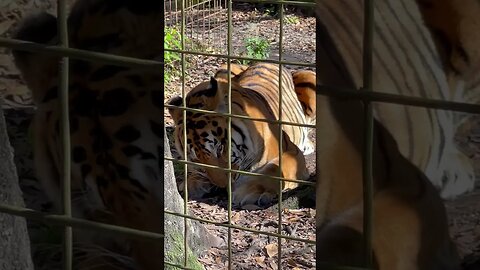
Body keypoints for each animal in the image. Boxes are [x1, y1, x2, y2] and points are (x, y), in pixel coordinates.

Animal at [167, 62, 316, 207]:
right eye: (196, 158)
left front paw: (247, 192)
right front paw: (192, 182)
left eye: (220, 149)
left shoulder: (292, 152)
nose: (222, 186)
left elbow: (274, 170)